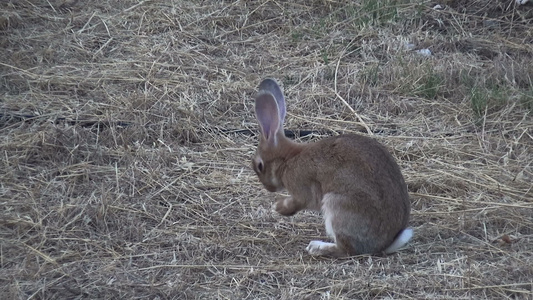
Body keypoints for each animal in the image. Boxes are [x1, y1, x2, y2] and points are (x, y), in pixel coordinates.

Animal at [251, 78, 414, 256]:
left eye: (259, 166)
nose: (268, 188)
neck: (287, 159)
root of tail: (384, 245)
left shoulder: (302, 188)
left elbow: (301, 201)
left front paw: (278, 207)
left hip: (336, 205)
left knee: (346, 250)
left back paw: (317, 247)